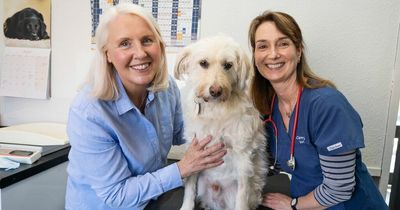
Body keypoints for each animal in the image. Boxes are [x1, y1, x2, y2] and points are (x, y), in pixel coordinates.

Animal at [173, 36, 268, 210]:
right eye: (203, 63)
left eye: (228, 65)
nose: (215, 91)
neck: (215, 109)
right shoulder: (195, 149)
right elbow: (189, 187)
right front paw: (186, 206)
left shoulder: (243, 155)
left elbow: (242, 196)